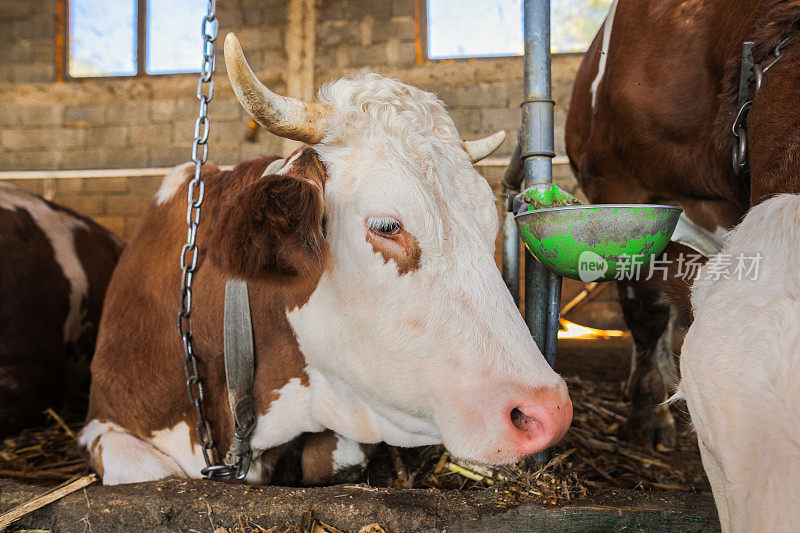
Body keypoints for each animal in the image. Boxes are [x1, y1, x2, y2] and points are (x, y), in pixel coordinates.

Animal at [78, 31, 572, 484]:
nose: (547, 410)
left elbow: (335, 458)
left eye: (490, 223)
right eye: (387, 226)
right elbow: (147, 472)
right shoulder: (104, 421)